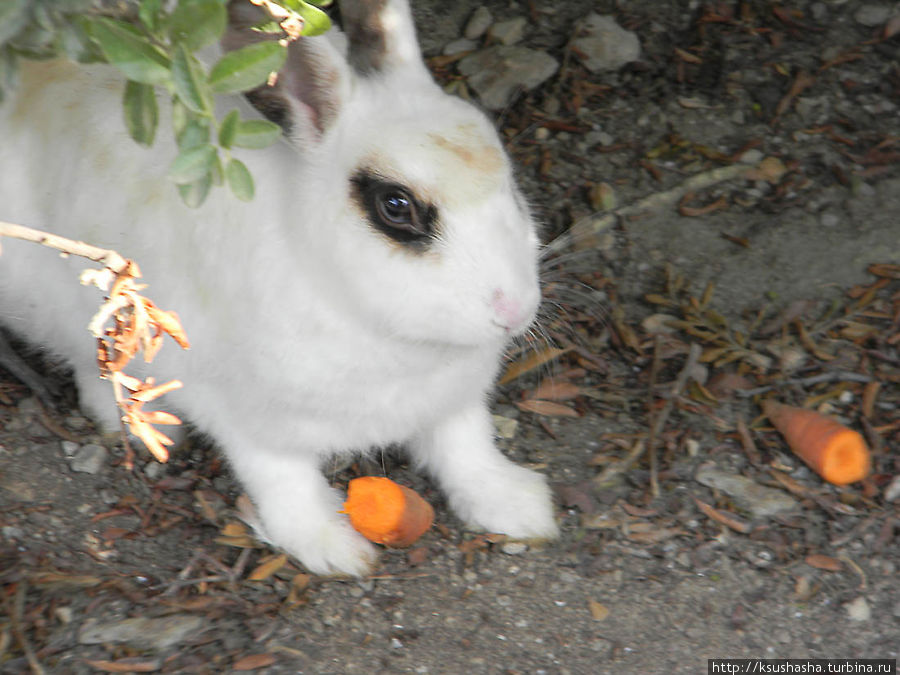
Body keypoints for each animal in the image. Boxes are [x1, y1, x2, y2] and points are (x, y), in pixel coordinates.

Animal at [0, 0, 560, 576]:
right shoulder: (247, 419)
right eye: (395, 207)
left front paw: (519, 507)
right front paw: (334, 548)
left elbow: (467, 449)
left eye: (510, 182)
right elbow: (284, 482)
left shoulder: (453, 403)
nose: (514, 311)